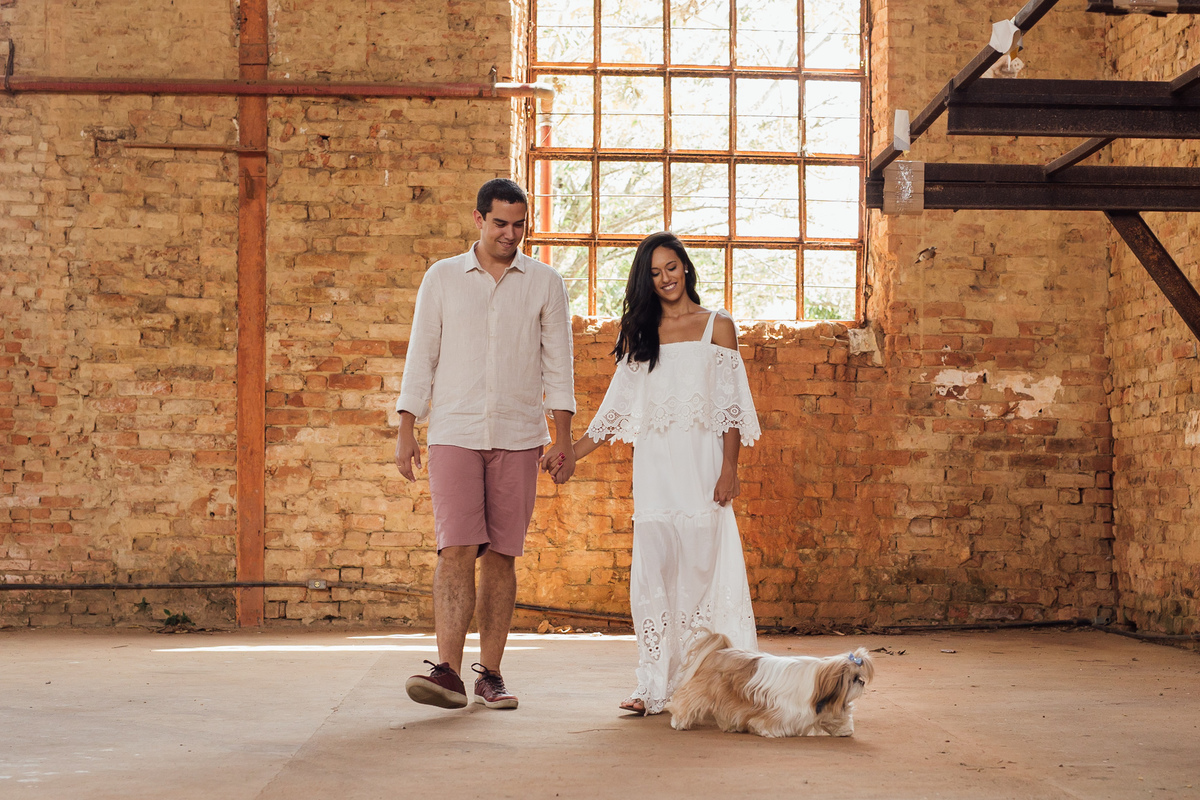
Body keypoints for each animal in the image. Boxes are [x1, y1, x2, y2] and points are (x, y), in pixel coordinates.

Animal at [666, 631, 874, 738]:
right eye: (853, 678)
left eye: (859, 676)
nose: (862, 682)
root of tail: (720, 651)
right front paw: (769, 730)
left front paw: (843, 730)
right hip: (704, 691)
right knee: (685, 700)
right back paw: (679, 722)